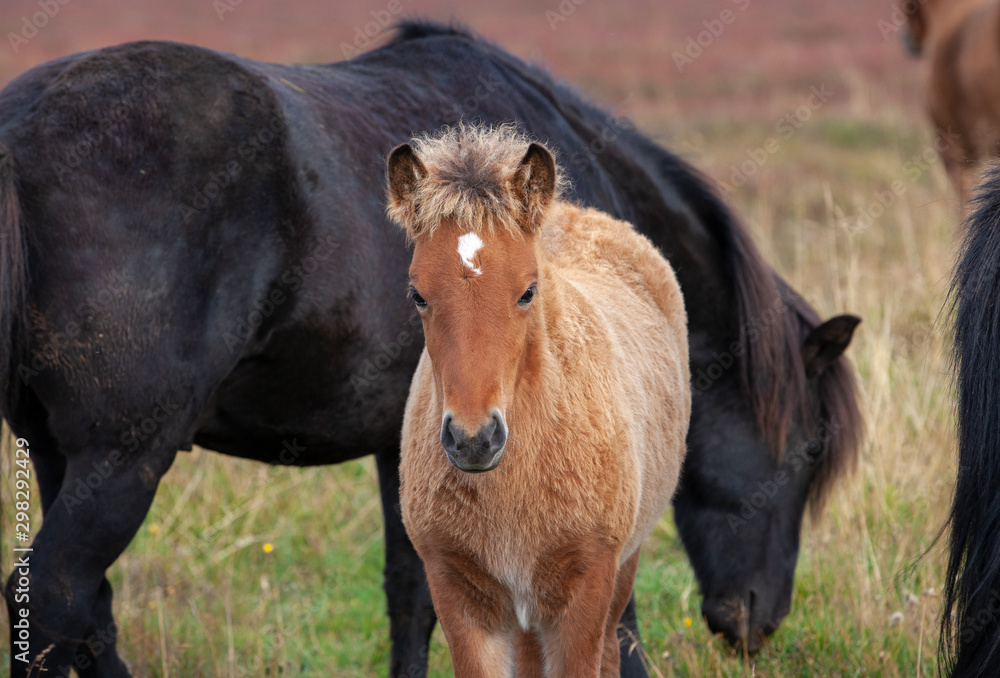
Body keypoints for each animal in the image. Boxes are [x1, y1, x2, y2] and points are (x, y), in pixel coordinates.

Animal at [391, 125, 690, 677]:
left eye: (528, 291)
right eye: (417, 295)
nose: (473, 440)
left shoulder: (586, 587)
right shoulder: (458, 593)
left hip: (621, 568)